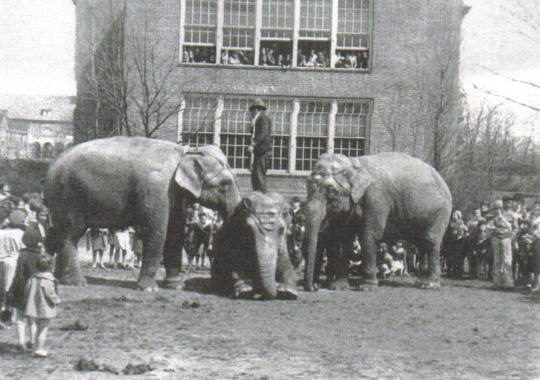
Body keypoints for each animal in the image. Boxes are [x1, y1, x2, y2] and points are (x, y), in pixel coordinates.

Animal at [44, 137, 240, 290]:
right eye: (224, 184)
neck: (186, 152)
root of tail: (51, 166)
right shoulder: (156, 188)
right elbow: (157, 232)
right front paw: (149, 289)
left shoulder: (174, 195)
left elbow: (175, 232)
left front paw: (175, 286)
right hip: (68, 196)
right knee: (71, 234)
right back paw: (77, 283)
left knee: (58, 234)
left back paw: (59, 279)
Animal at [304, 153, 452, 290]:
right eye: (307, 187)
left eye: (330, 190)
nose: (315, 287)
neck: (354, 163)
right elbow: (343, 237)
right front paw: (339, 287)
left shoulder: (377, 198)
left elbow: (369, 235)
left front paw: (366, 287)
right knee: (421, 244)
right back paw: (420, 282)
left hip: (441, 212)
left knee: (431, 241)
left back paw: (430, 285)